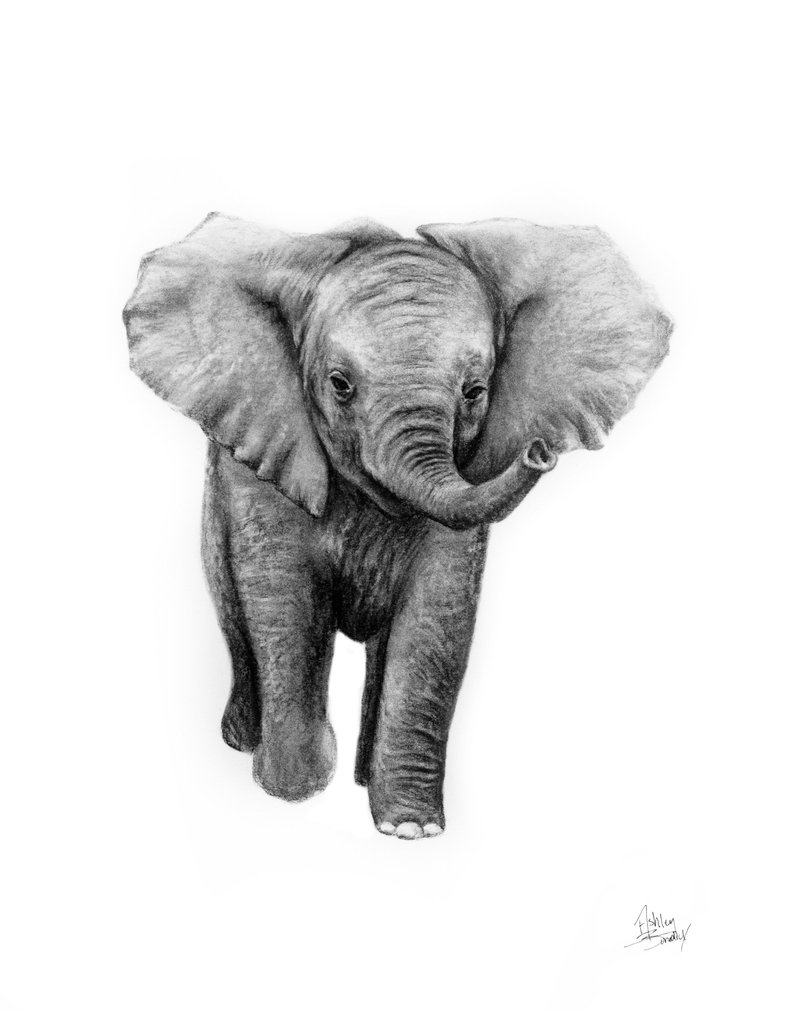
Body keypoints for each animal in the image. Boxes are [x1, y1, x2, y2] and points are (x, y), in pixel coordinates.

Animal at [124, 214, 670, 839]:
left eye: (475, 392)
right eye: (339, 384)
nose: (539, 453)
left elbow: (435, 618)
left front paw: (410, 829)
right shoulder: (260, 463)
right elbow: (286, 601)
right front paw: (295, 792)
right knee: (236, 621)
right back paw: (244, 745)